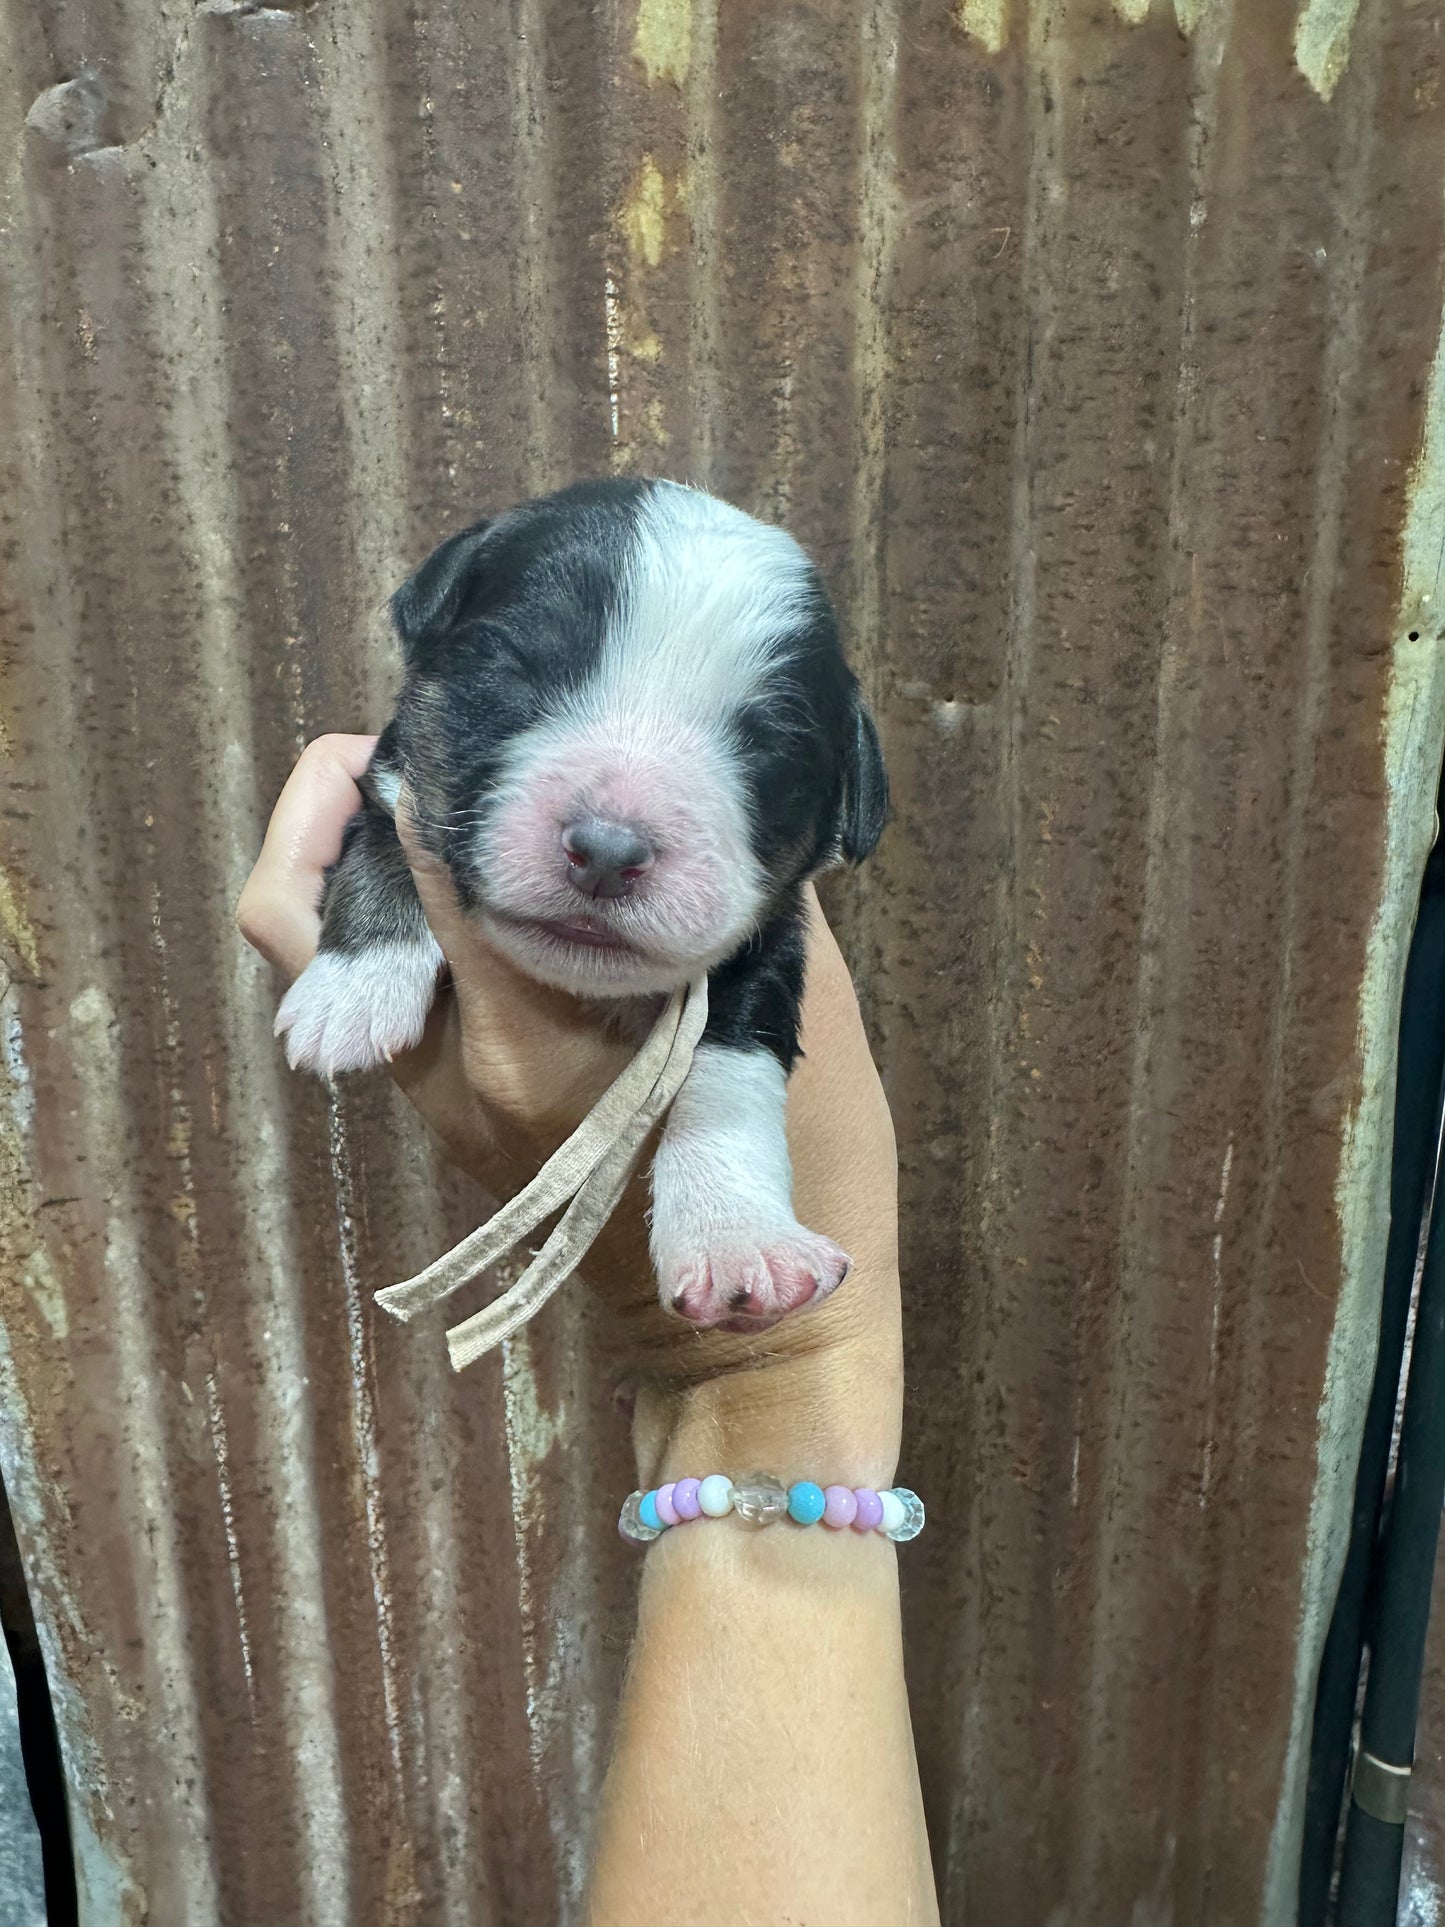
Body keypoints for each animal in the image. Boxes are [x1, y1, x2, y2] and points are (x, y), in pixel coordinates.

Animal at [269, 475, 882, 1333]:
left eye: (767, 746)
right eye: (515, 671)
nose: (609, 850)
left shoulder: (770, 934)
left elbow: (730, 1063)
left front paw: (735, 1236)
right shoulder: (395, 776)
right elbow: (384, 845)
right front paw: (352, 991)